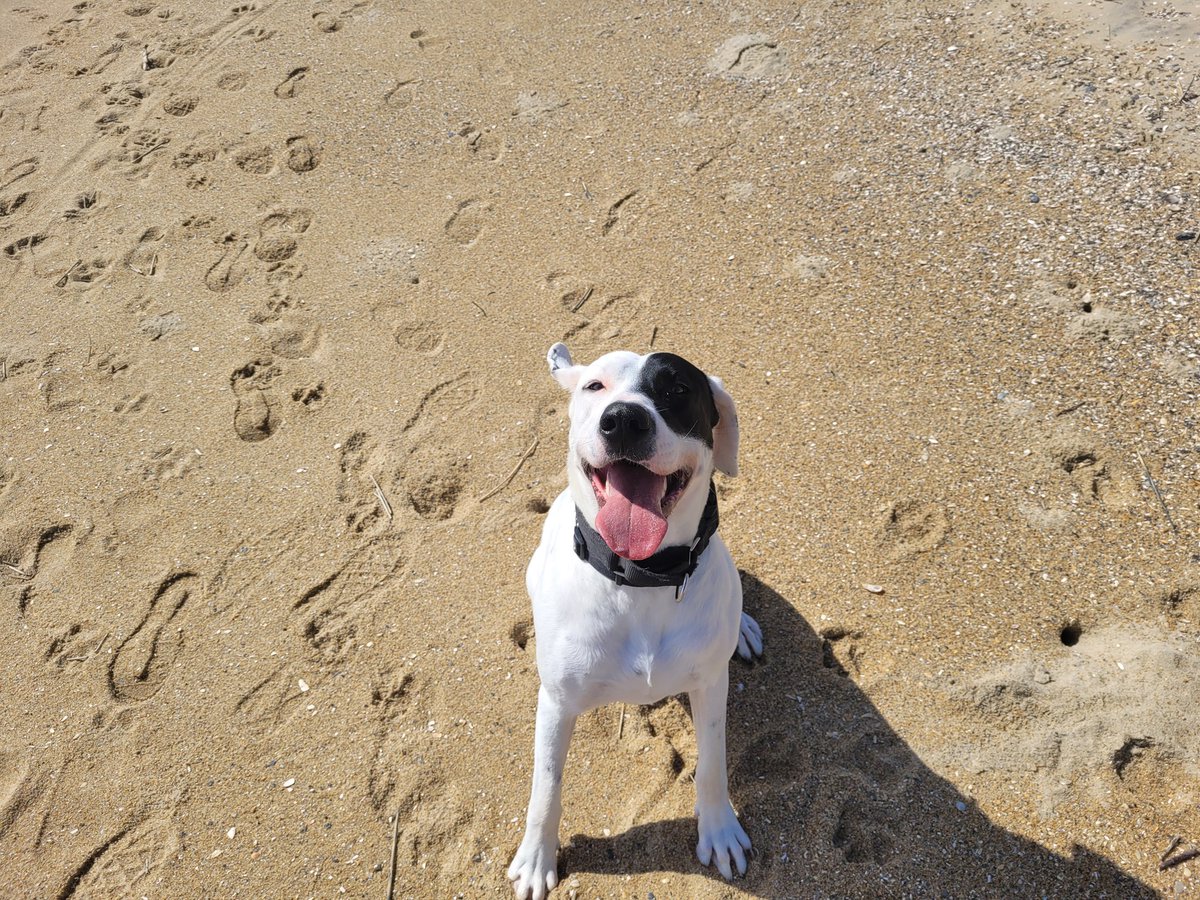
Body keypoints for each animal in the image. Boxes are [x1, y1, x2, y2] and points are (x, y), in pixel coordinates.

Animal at [506, 340, 758, 897]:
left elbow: (713, 764)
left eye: (677, 389)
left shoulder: (711, 685)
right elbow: (545, 786)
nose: (623, 419)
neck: (643, 577)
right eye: (594, 386)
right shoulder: (556, 702)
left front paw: (720, 829)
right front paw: (536, 857)